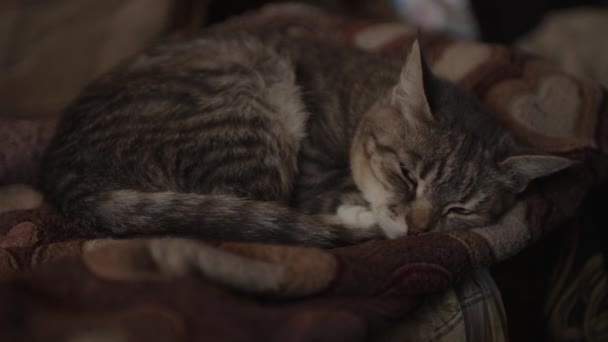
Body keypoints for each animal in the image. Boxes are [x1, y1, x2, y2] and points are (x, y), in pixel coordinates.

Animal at [39, 32, 576, 246]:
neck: (362, 96)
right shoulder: (315, 163)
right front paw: (367, 213)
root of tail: (65, 172)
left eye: (460, 209)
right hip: (248, 108)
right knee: (254, 207)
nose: (419, 230)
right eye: (406, 175)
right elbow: (326, 191)